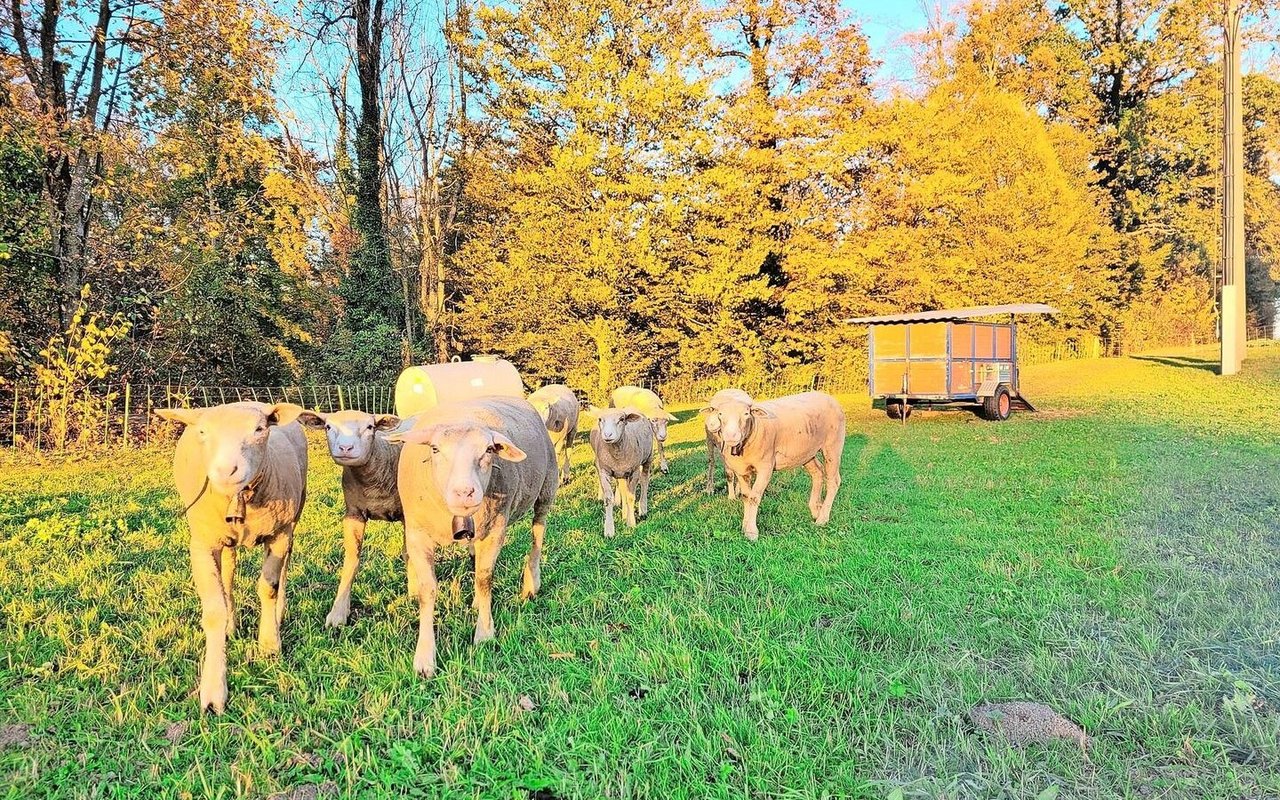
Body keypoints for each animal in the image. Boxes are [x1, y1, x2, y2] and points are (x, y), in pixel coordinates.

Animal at [151, 401, 305, 716]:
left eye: (259, 429)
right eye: (202, 432)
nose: (226, 470)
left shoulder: (279, 533)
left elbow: (268, 588)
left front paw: (269, 644)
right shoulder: (202, 544)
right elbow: (214, 609)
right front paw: (213, 691)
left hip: (294, 518)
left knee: (284, 568)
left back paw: (279, 613)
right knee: (229, 573)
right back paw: (232, 625)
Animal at [294, 409, 409, 627]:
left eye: (370, 427)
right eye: (328, 426)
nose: (346, 448)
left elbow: (409, 554)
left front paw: (415, 592)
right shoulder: (353, 514)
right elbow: (351, 561)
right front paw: (338, 612)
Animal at [391, 396, 558, 675]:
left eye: (489, 450)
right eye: (434, 449)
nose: (464, 492)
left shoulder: (496, 529)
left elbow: (484, 578)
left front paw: (485, 633)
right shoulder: (416, 535)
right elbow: (428, 590)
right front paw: (425, 657)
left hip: (546, 488)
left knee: (538, 533)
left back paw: (531, 584)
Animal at [586, 404, 655, 537]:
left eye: (621, 419)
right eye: (600, 419)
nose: (608, 435)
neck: (617, 451)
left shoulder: (634, 471)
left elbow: (630, 497)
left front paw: (631, 523)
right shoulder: (604, 471)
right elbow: (609, 499)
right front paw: (609, 530)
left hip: (648, 458)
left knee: (644, 481)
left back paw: (642, 509)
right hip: (621, 473)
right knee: (623, 488)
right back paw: (624, 514)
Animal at [696, 389, 844, 540]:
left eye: (746, 413)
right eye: (720, 414)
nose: (731, 436)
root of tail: (828, 397)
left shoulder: (765, 467)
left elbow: (754, 497)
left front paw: (751, 532)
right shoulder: (741, 471)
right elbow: (746, 497)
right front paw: (745, 525)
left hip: (833, 445)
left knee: (833, 481)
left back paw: (822, 519)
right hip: (806, 453)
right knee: (818, 472)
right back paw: (815, 510)